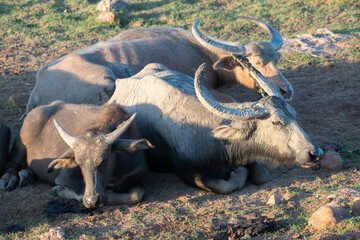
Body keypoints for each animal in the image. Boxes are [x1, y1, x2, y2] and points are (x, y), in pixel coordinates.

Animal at [0, 102, 153, 207]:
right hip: (20, 142)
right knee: (11, 162)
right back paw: (9, 179)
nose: (92, 200)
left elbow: (136, 194)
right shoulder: (64, 178)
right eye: (79, 163)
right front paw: (59, 190)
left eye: (104, 160)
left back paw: (27, 176)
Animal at [106, 57, 320, 194]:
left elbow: (261, 176)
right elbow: (223, 186)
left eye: (294, 115)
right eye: (276, 122)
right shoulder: (189, 172)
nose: (315, 153)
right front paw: (238, 173)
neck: (214, 139)